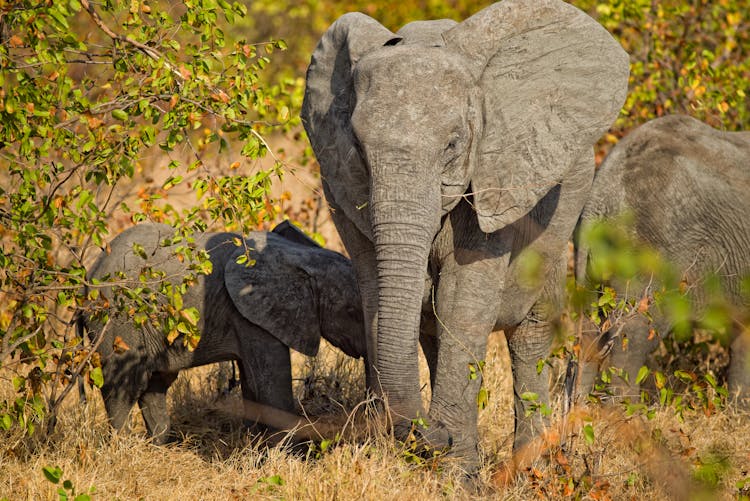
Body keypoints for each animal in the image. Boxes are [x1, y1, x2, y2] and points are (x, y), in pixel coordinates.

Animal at [82, 221, 368, 440]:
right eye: (353, 312)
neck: (303, 258)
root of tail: (88, 278)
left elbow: (253, 384)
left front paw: (256, 444)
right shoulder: (250, 314)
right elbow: (271, 386)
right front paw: (293, 454)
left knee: (156, 384)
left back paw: (159, 445)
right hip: (117, 322)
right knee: (124, 386)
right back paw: (123, 447)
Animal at [302, 0, 632, 464]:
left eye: (453, 146)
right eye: (359, 149)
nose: (431, 433)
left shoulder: (499, 171)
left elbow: (461, 304)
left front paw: (453, 470)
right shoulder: (340, 189)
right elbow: (378, 299)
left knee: (529, 335)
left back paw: (531, 466)